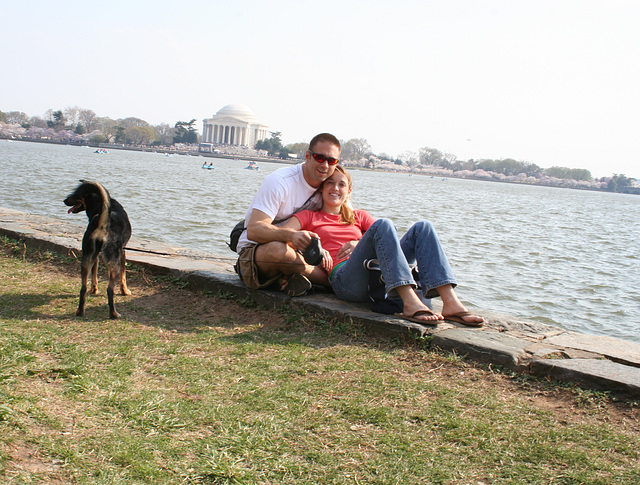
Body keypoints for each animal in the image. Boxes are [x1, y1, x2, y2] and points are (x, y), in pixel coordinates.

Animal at [64, 180, 132, 320]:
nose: (64, 200)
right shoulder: (122, 252)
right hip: (113, 263)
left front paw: (94, 290)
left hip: (87, 258)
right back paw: (114, 314)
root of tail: (103, 223)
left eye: (76, 193)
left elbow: (94, 273)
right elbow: (123, 276)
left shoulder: (96, 256)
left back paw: (80, 311)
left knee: (83, 288)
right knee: (110, 290)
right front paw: (125, 291)